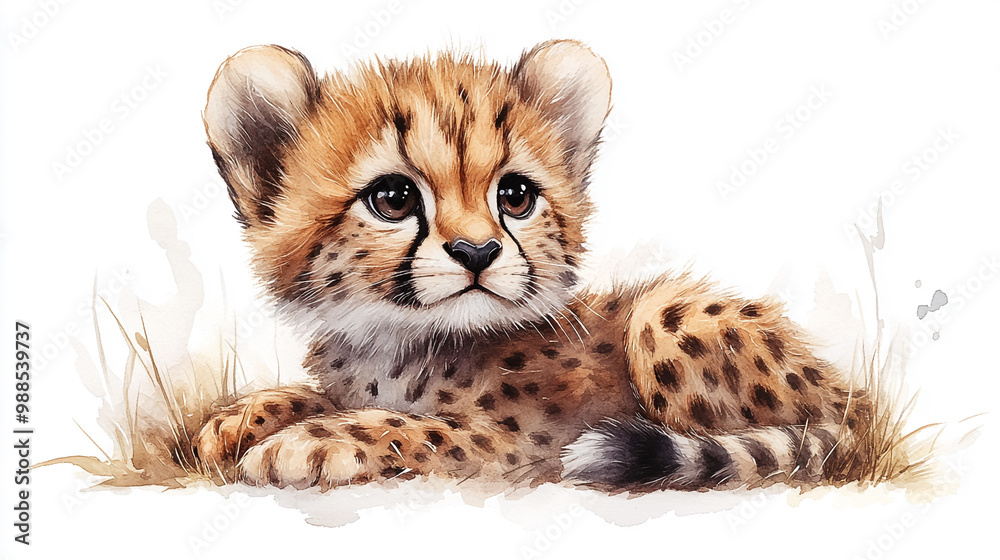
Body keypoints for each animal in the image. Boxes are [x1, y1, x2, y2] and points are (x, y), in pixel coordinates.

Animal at [191, 40, 872, 491]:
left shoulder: (520, 443)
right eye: (394, 198)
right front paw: (242, 416)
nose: (477, 253)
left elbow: (412, 428)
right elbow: (317, 396)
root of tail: (855, 402)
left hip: (664, 316)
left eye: (515, 195)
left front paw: (307, 441)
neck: (402, 338)